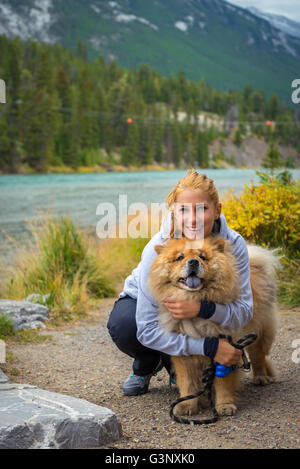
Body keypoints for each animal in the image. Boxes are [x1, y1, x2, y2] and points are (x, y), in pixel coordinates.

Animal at [149, 236, 280, 414]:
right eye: (180, 257)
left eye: (202, 257)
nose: (193, 262)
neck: (195, 299)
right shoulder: (182, 350)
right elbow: (187, 382)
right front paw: (186, 405)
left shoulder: (226, 348)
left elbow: (223, 381)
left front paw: (224, 406)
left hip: (257, 329)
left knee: (257, 354)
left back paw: (261, 377)